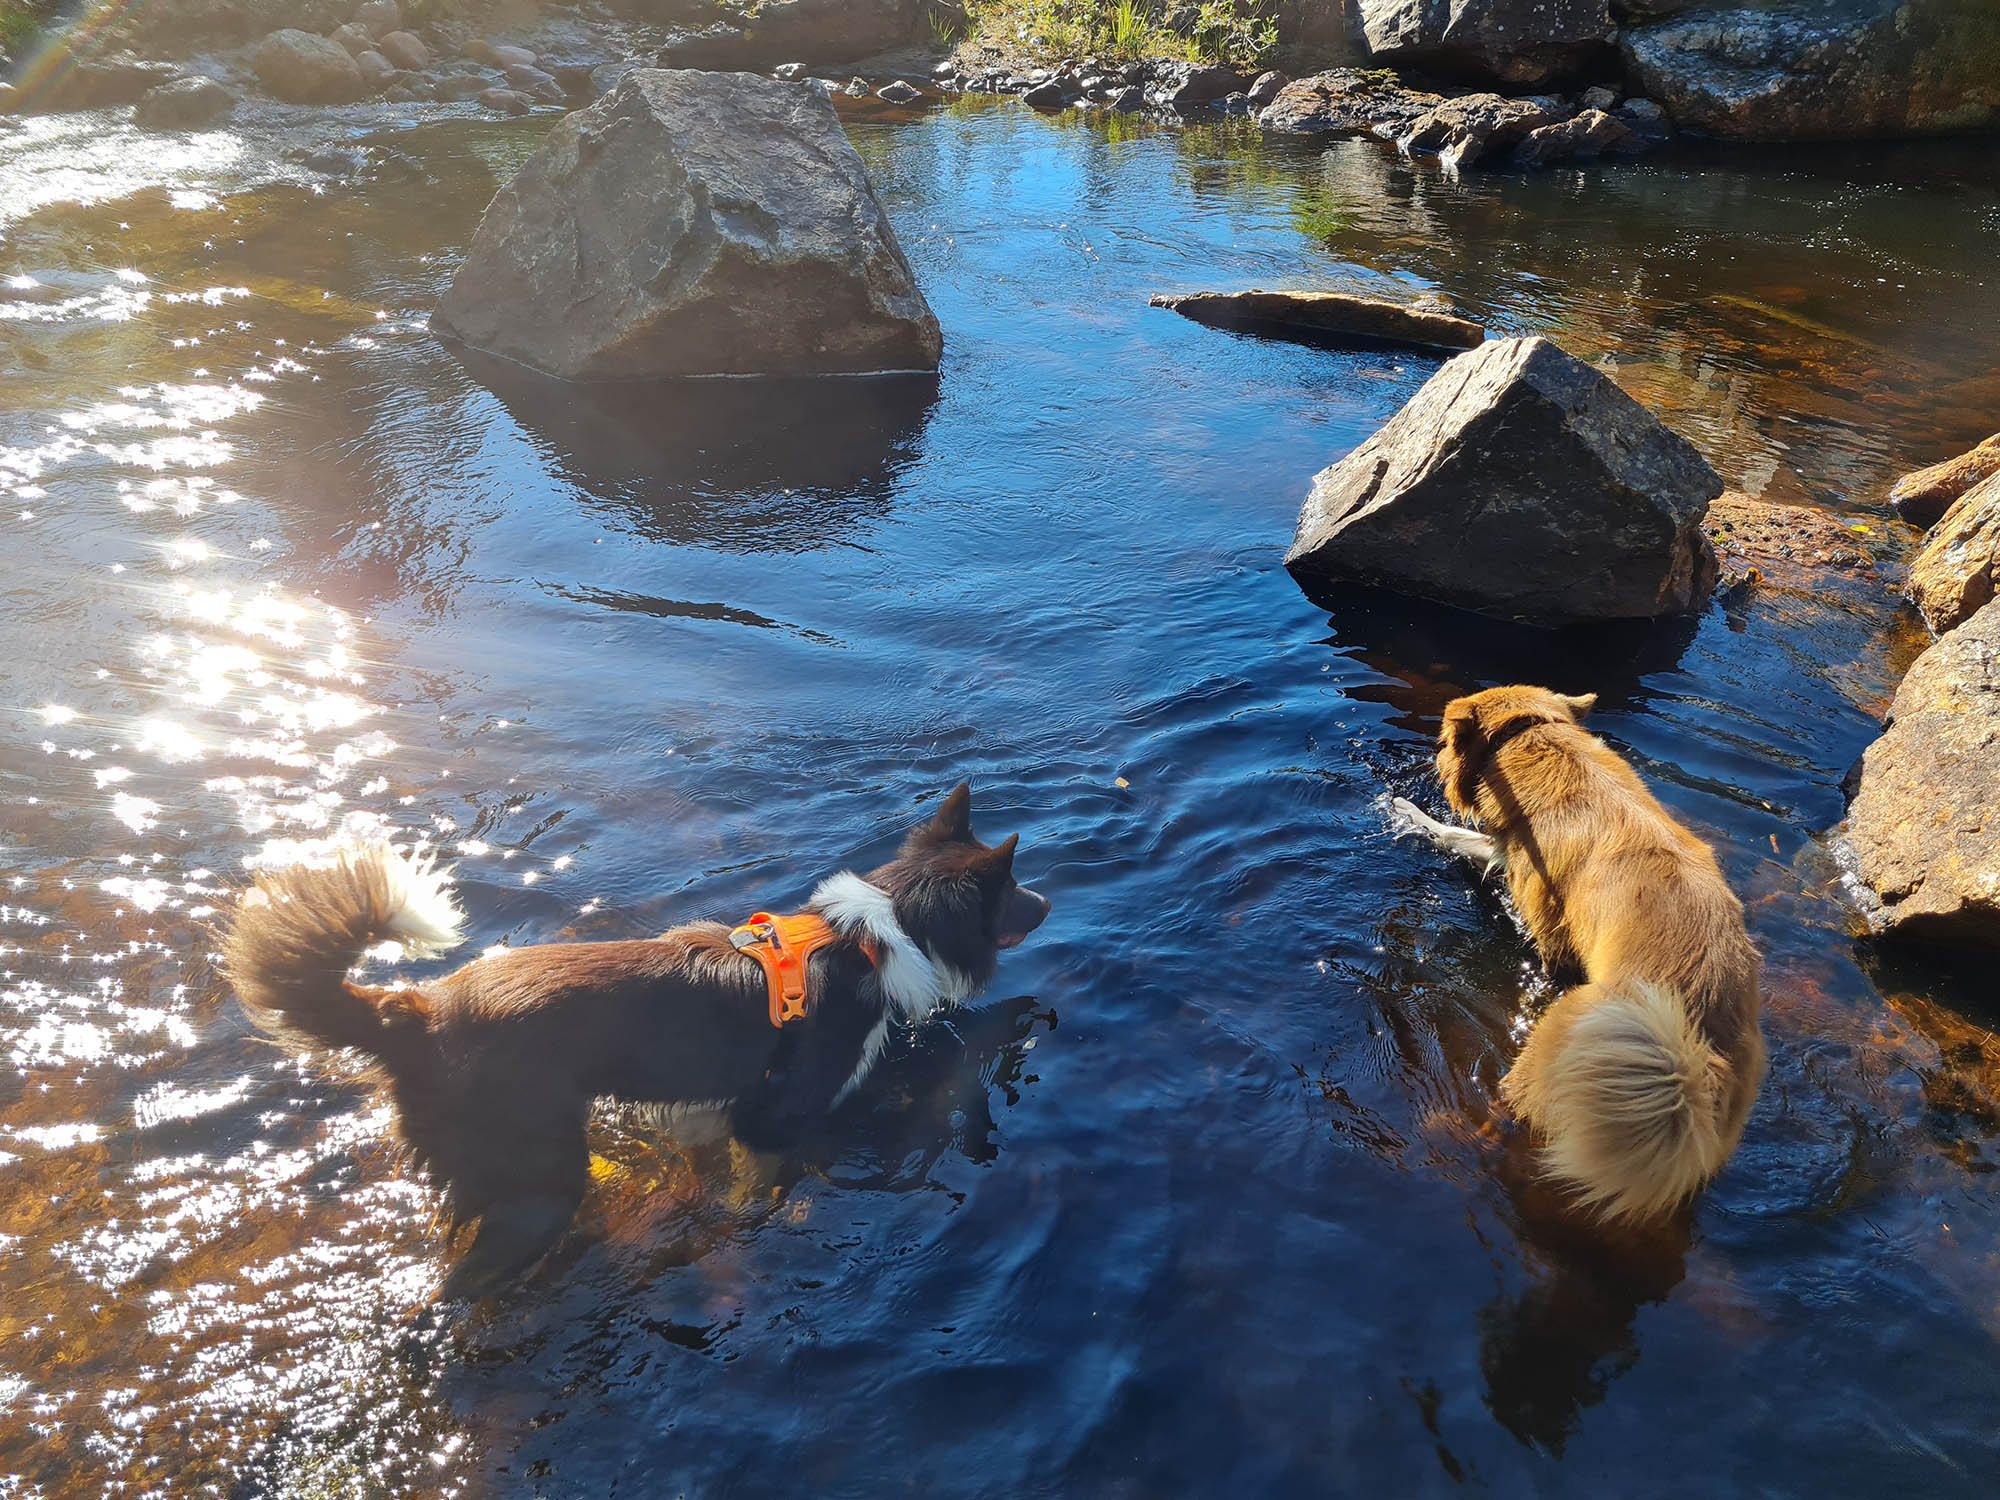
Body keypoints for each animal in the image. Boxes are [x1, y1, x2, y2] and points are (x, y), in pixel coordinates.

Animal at [221, 783, 1049, 1296]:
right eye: (1014, 888)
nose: (1048, 899)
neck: (877, 935)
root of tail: (416, 1013)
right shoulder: (773, 1116)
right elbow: (764, 1188)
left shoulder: (713, 1114)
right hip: (535, 1178)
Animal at [1392, 685, 1764, 1222]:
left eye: (1443, 740)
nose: (1431, 753)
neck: (1537, 742)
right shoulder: (1508, 854)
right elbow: (1464, 838)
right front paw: (1411, 814)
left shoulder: (1549, 934)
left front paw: (1405, 810)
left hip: (1551, 1055)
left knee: (1509, 1106)